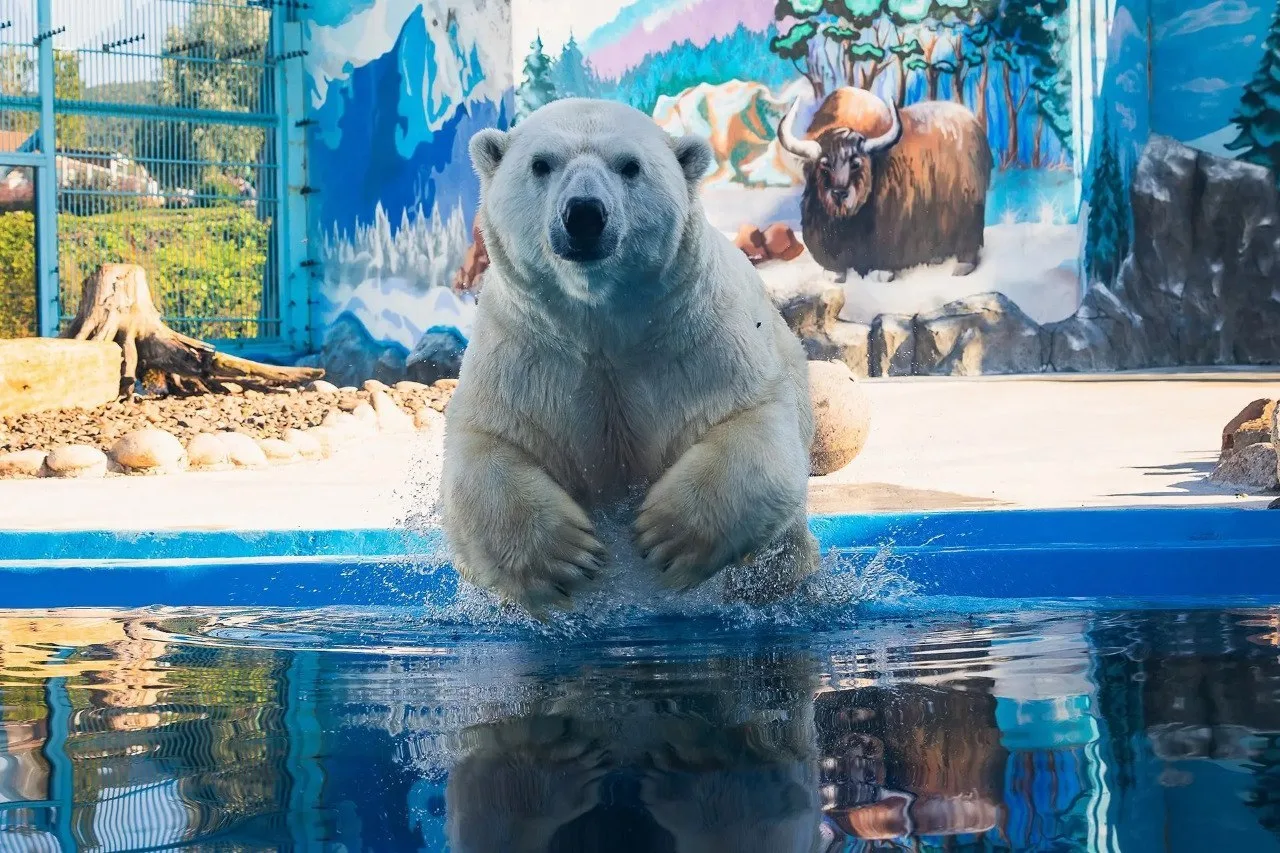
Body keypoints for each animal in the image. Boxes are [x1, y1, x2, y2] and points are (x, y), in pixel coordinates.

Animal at [440, 97, 820, 617]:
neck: (602, 322)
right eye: (541, 164)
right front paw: (565, 558)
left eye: (630, 166)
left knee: (785, 560)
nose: (583, 214)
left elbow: (754, 423)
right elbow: (486, 444)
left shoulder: (699, 340)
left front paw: (666, 534)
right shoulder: (525, 355)